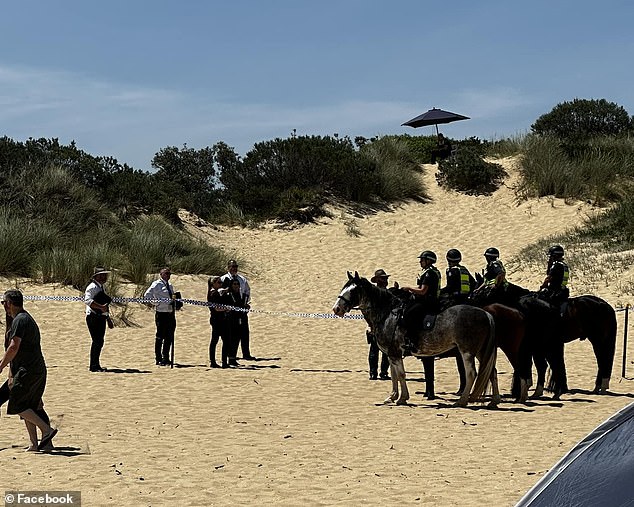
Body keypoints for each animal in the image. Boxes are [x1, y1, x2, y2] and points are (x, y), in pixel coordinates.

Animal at [330, 274, 498, 408]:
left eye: (353, 290)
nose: (336, 309)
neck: (388, 315)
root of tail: (485, 313)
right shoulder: (391, 354)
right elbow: (394, 375)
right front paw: (392, 396)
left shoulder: (395, 353)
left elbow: (401, 375)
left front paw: (402, 398)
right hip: (480, 351)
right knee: (491, 371)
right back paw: (494, 401)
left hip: (467, 351)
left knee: (471, 373)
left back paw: (462, 401)